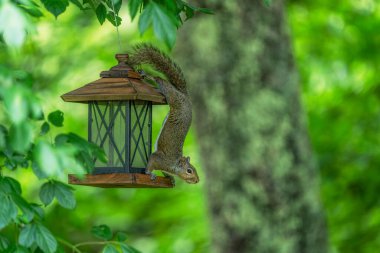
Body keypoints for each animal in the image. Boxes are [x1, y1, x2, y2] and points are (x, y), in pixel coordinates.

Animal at [127, 44, 199, 184]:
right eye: (189, 171)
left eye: (194, 169)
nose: (197, 180)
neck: (174, 165)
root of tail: (185, 96)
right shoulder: (159, 159)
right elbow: (151, 162)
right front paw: (150, 173)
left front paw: (170, 178)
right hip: (173, 96)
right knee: (161, 80)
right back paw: (146, 75)